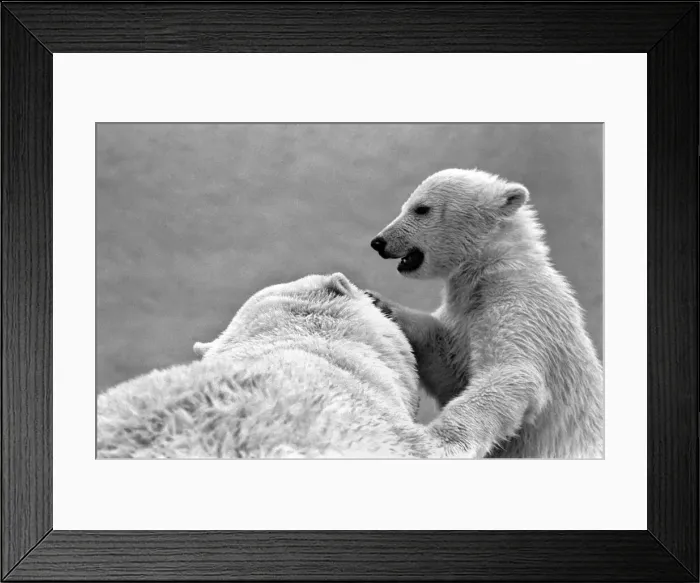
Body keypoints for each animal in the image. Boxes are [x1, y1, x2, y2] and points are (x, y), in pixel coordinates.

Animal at [369, 168, 604, 459]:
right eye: (408, 205)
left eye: (421, 208)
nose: (379, 242)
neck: (492, 265)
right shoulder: (467, 312)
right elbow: (449, 364)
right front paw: (380, 302)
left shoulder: (521, 304)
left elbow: (510, 374)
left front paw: (438, 442)